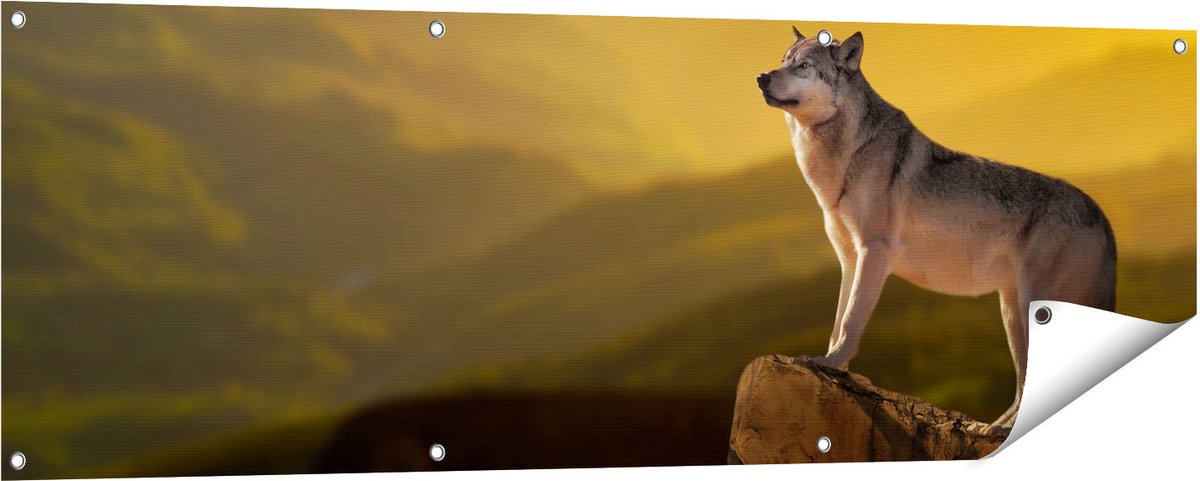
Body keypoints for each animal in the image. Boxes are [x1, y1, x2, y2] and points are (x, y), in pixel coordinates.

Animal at [757, 29, 1116, 433]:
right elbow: (838, 319)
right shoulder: (849, 259)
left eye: (804, 66)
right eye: (783, 61)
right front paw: (833, 365)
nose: (762, 77)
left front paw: (831, 363)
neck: (843, 158)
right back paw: (990, 428)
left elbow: (850, 320)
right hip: (1012, 313)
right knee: (1025, 382)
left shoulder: (874, 252)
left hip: (1030, 308)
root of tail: (1101, 214)